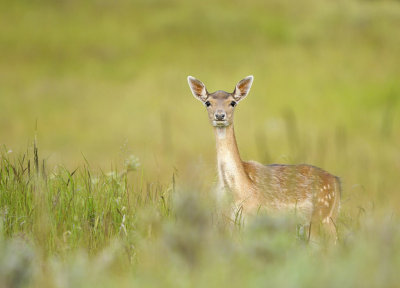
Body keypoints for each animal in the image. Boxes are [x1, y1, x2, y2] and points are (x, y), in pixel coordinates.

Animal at [188, 75, 340, 242]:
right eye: (208, 102)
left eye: (233, 102)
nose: (220, 115)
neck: (237, 190)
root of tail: (336, 183)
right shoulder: (230, 221)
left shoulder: (255, 217)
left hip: (322, 217)